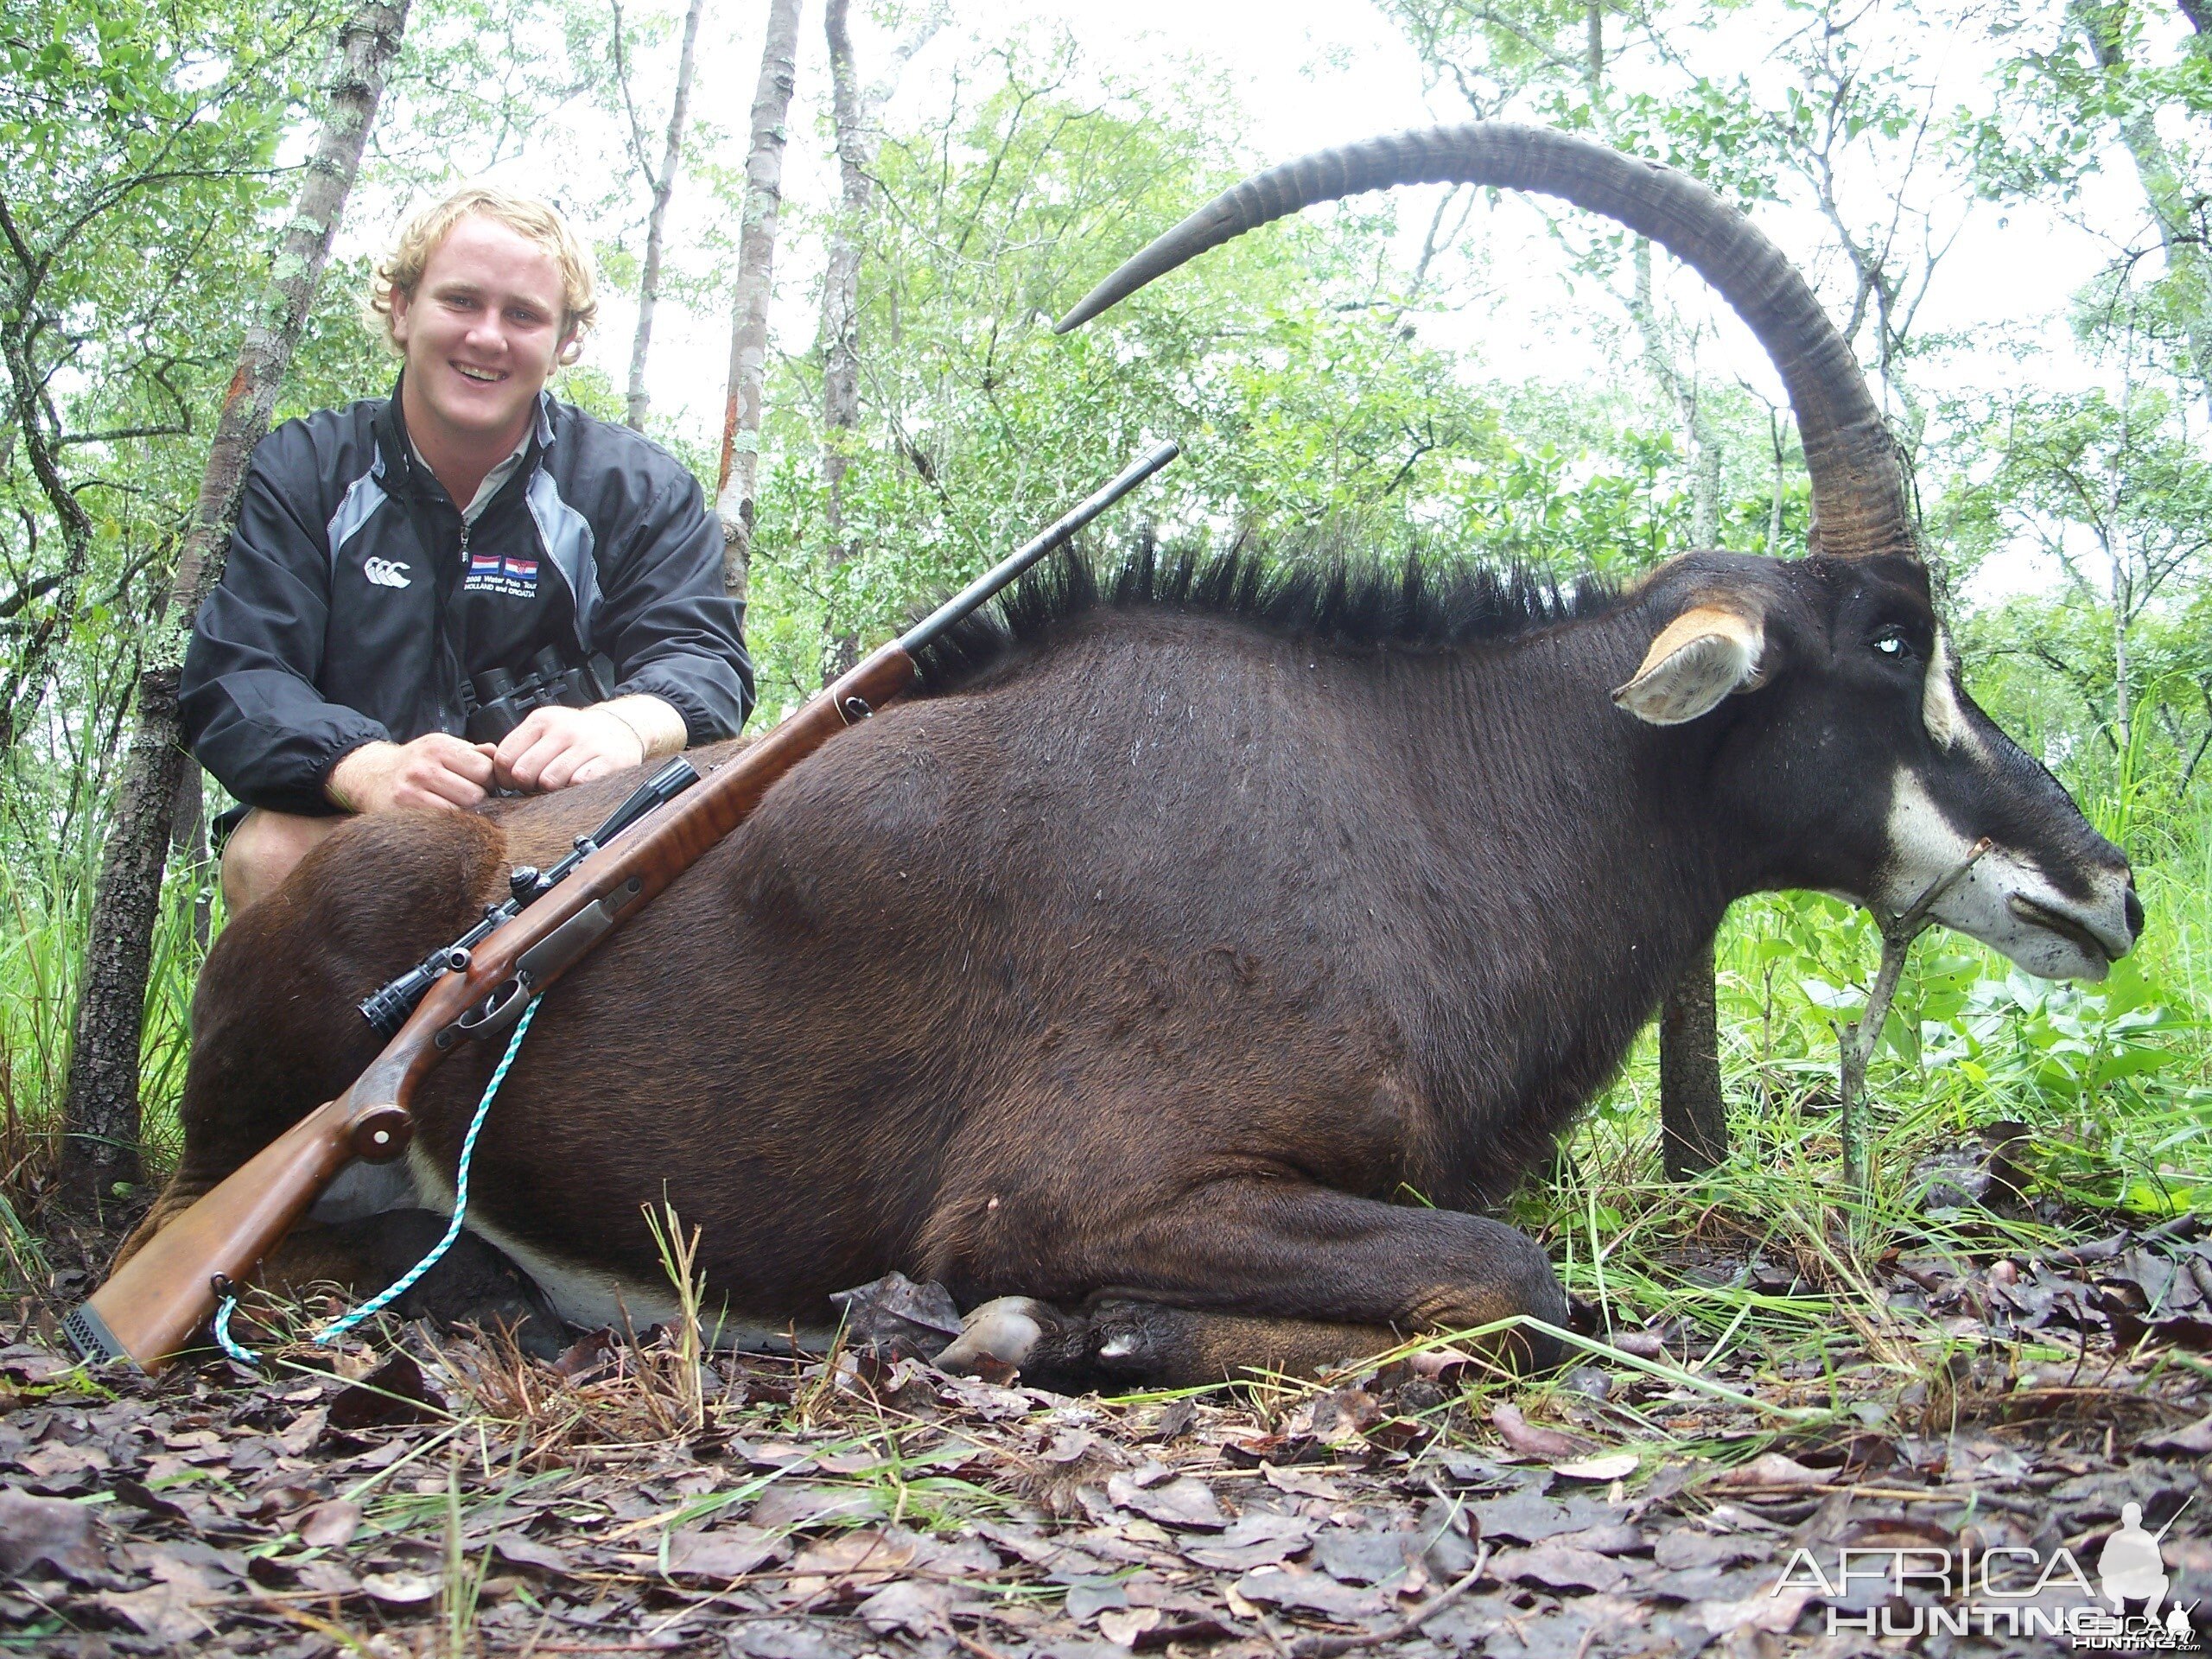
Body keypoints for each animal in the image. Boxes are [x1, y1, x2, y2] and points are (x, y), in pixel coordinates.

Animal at [129, 123, 2132, 1380]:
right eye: (1896, 645)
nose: (2104, 889)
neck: (1423, 796)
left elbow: (1505, 1272)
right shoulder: (1083, 1188)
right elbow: (1514, 1279)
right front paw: (1010, 1328)